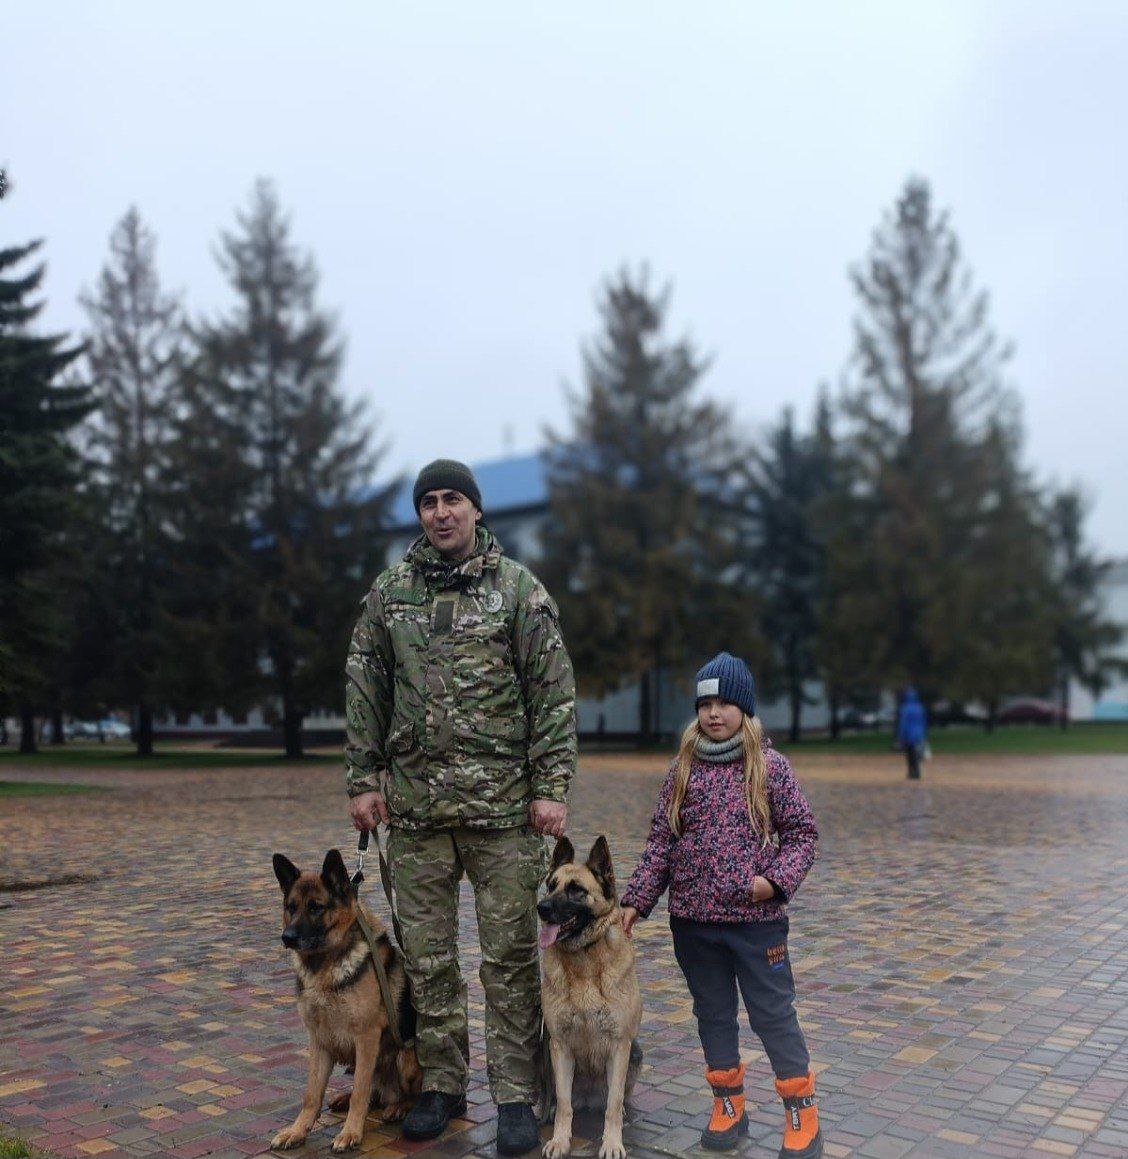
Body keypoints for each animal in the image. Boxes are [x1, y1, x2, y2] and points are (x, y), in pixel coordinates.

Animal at [271, 848, 419, 1154]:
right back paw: (345, 1098)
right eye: (291, 907)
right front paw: (297, 1131)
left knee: (407, 1092)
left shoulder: (367, 1037)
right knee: (373, 1092)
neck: (324, 967)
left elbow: (361, 1092)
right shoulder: (318, 1040)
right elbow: (311, 1094)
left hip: (406, 1056)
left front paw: (351, 1133)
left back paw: (398, 1107)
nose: (287, 937)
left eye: (316, 907)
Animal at [540, 839, 644, 1154]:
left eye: (576, 890)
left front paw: (612, 1142)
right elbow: (564, 1103)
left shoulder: (620, 1046)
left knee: (617, 1097)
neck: (584, 960)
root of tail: (587, 1098)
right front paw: (560, 1140)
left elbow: (613, 1103)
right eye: (551, 885)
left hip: (635, 1050)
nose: (541, 908)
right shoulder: (559, 1045)